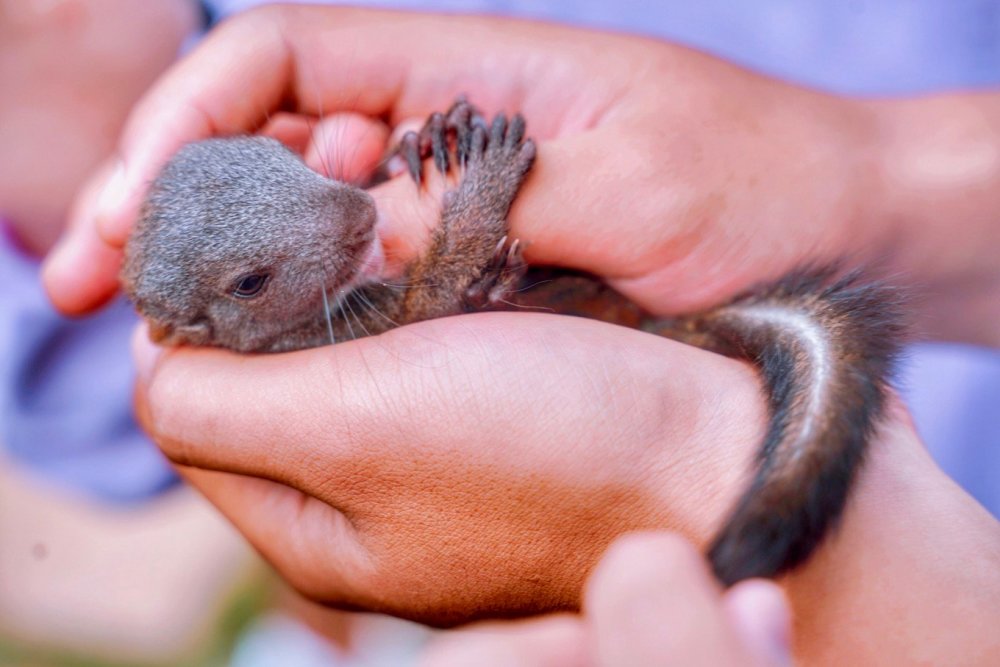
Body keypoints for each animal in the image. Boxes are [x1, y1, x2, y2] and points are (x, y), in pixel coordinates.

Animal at [121, 100, 904, 588]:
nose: (362, 213)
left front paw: (429, 136)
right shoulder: (363, 323)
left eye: (278, 150)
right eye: (249, 283)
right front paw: (482, 190)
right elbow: (433, 298)